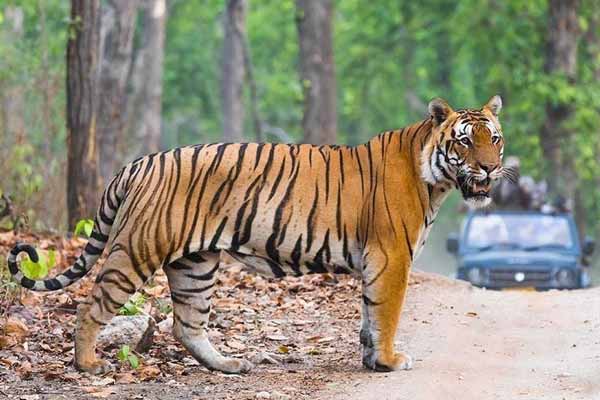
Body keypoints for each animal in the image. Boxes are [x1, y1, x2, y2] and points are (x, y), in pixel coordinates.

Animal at [7, 95, 508, 374]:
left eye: (495, 139)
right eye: (465, 141)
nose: (489, 168)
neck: (434, 178)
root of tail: (140, 161)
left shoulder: (378, 262)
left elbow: (369, 318)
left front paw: (371, 361)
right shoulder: (391, 258)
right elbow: (385, 315)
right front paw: (388, 362)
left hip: (195, 265)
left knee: (187, 325)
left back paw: (231, 365)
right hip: (137, 249)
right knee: (92, 305)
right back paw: (87, 364)